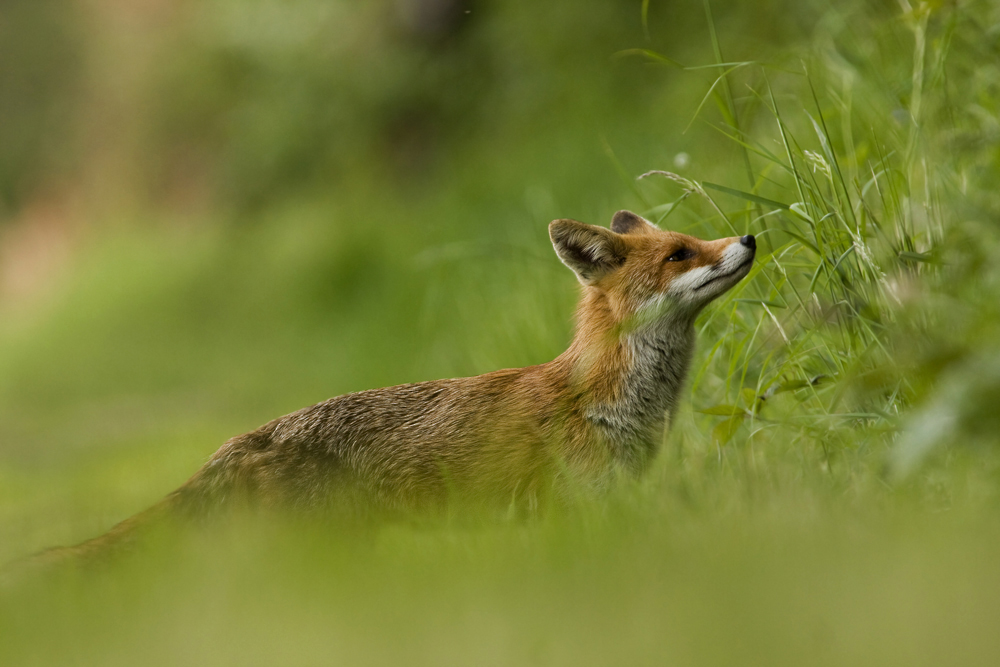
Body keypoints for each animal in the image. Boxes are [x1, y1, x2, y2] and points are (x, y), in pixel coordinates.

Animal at [15, 210, 752, 568]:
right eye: (680, 254)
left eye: (693, 240)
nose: (747, 236)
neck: (609, 397)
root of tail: (245, 439)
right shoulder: (572, 511)